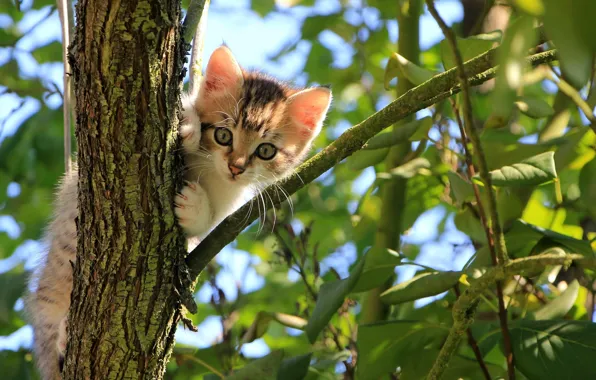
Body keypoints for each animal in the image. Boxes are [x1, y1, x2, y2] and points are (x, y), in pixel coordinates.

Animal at [26, 45, 330, 380]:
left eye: (266, 151)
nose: (236, 167)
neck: (210, 170)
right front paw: (188, 124)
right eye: (223, 134)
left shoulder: (227, 204)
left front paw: (194, 205)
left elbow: (206, 223)